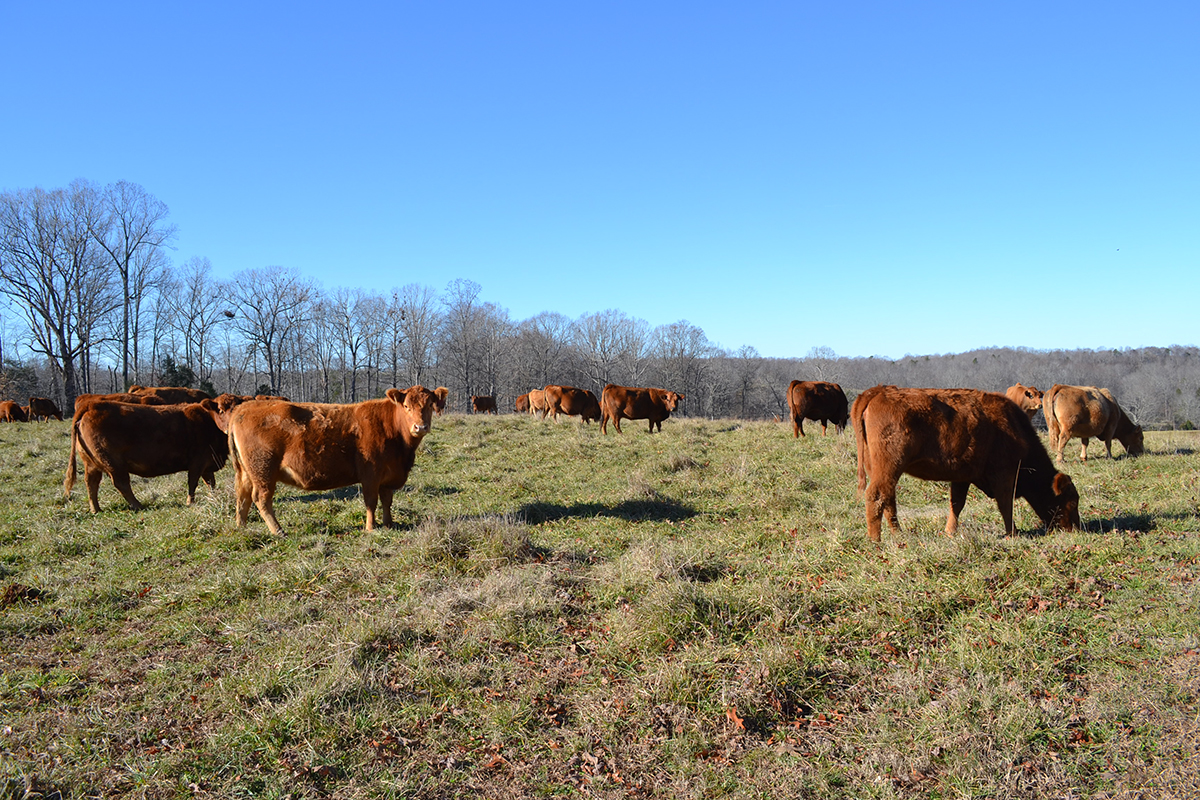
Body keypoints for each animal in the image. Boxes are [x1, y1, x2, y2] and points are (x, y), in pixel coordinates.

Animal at [63, 398, 229, 513]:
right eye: (221, 411)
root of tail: (91, 405)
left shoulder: (207, 462)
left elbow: (211, 482)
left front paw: (214, 496)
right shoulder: (197, 462)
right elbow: (193, 482)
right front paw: (190, 502)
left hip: (91, 464)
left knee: (91, 483)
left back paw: (96, 509)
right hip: (113, 464)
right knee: (121, 484)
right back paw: (138, 505)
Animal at [225, 386, 436, 536]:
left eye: (429, 406)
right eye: (406, 406)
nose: (420, 427)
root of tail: (243, 408)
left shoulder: (387, 476)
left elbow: (387, 500)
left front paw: (389, 524)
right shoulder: (371, 475)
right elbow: (371, 502)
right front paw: (371, 528)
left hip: (246, 473)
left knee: (243, 497)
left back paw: (241, 527)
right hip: (263, 471)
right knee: (260, 499)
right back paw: (278, 530)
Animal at [852, 385, 1080, 542]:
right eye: (1071, 500)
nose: (1076, 529)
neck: (1015, 426)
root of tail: (877, 391)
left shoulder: (962, 477)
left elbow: (957, 504)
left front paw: (950, 532)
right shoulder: (1005, 473)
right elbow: (1005, 503)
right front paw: (1013, 533)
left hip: (881, 470)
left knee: (888, 497)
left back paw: (898, 534)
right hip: (889, 466)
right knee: (876, 496)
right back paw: (876, 541)